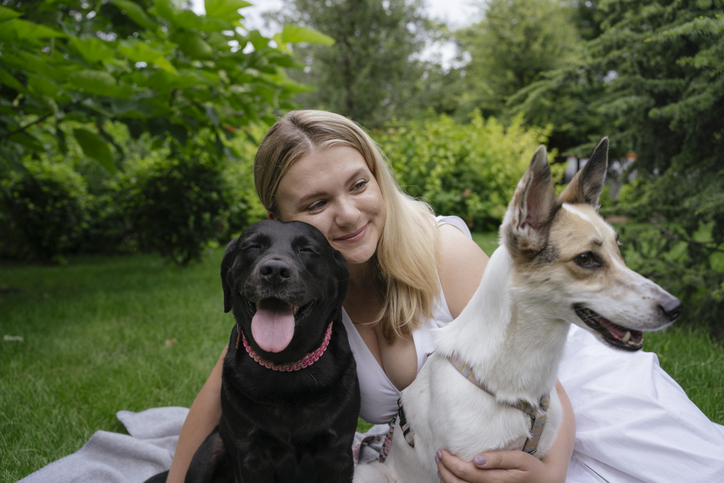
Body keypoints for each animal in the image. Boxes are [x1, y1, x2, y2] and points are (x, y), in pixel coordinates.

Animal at [148, 220, 362, 483]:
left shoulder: (338, 452)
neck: (285, 366)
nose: (275, 271)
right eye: (253, 246)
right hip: (210, 447)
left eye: (307, 250)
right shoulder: (252, 454)